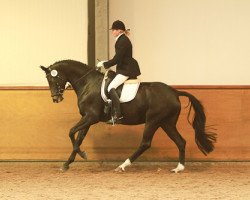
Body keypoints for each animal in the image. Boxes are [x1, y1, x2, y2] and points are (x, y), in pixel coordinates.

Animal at [40, 59, 216, 172]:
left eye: (53, 78)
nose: (56, 99)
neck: (88, 84)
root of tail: (174, 92)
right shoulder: (87, 119)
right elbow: (78, 138)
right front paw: (67, 164)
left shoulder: (91, 117)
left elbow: (71, 132)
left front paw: (82, 154)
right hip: (166, 123)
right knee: (180, 141)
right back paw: (179, 168)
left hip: (153, 121)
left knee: (145, 143)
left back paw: (122, 165)